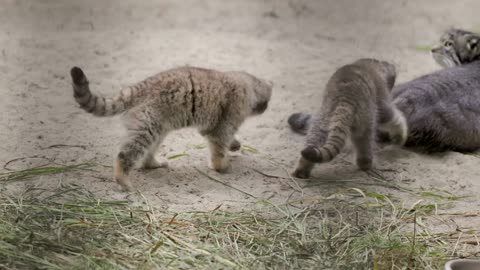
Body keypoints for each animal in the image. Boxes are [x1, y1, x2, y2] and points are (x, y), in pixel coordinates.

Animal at [71, 66, 274, 191]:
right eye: (267, 102)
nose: (266, 108)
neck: (246, 83)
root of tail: (139, 87)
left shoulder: (211, 126)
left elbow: (220, 140)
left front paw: (234, 144)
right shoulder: (224, 122)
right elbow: (219, 148)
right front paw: (221, 166)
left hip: (157, 129)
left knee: (147, 152)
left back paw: (152, 163)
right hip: (146, 129)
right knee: (125, 156)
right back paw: (122, 179)